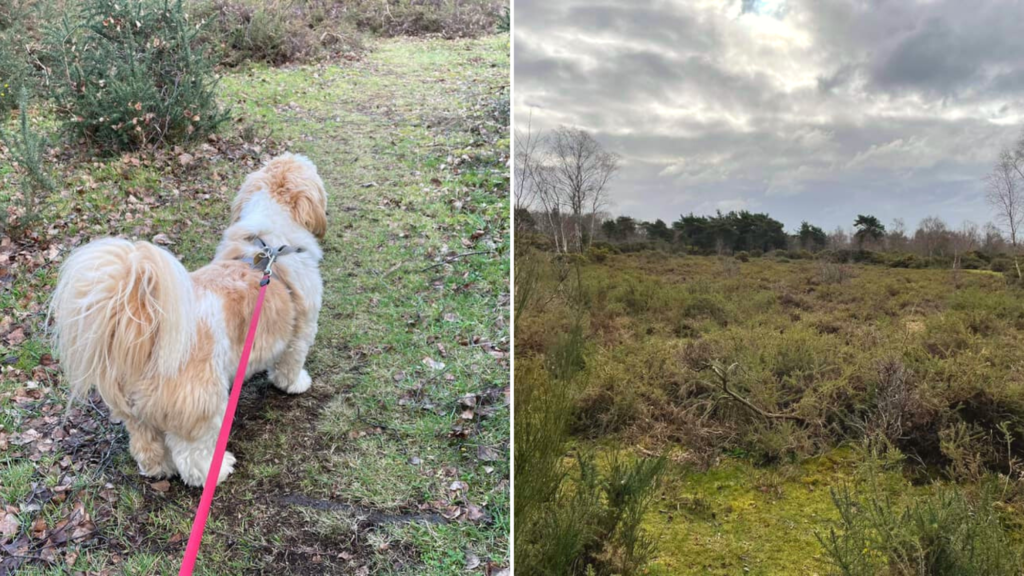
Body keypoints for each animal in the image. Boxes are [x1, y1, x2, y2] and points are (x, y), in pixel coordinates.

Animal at [49, 152, 325, 483]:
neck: (267, 244)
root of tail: (148, 327)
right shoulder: (301, 330)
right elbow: (290, 364)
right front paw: (295, 383)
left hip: (137, 415)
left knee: (147, 446)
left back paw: (157, 468)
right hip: (203, 404)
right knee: (192, 456)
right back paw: (216, 469)